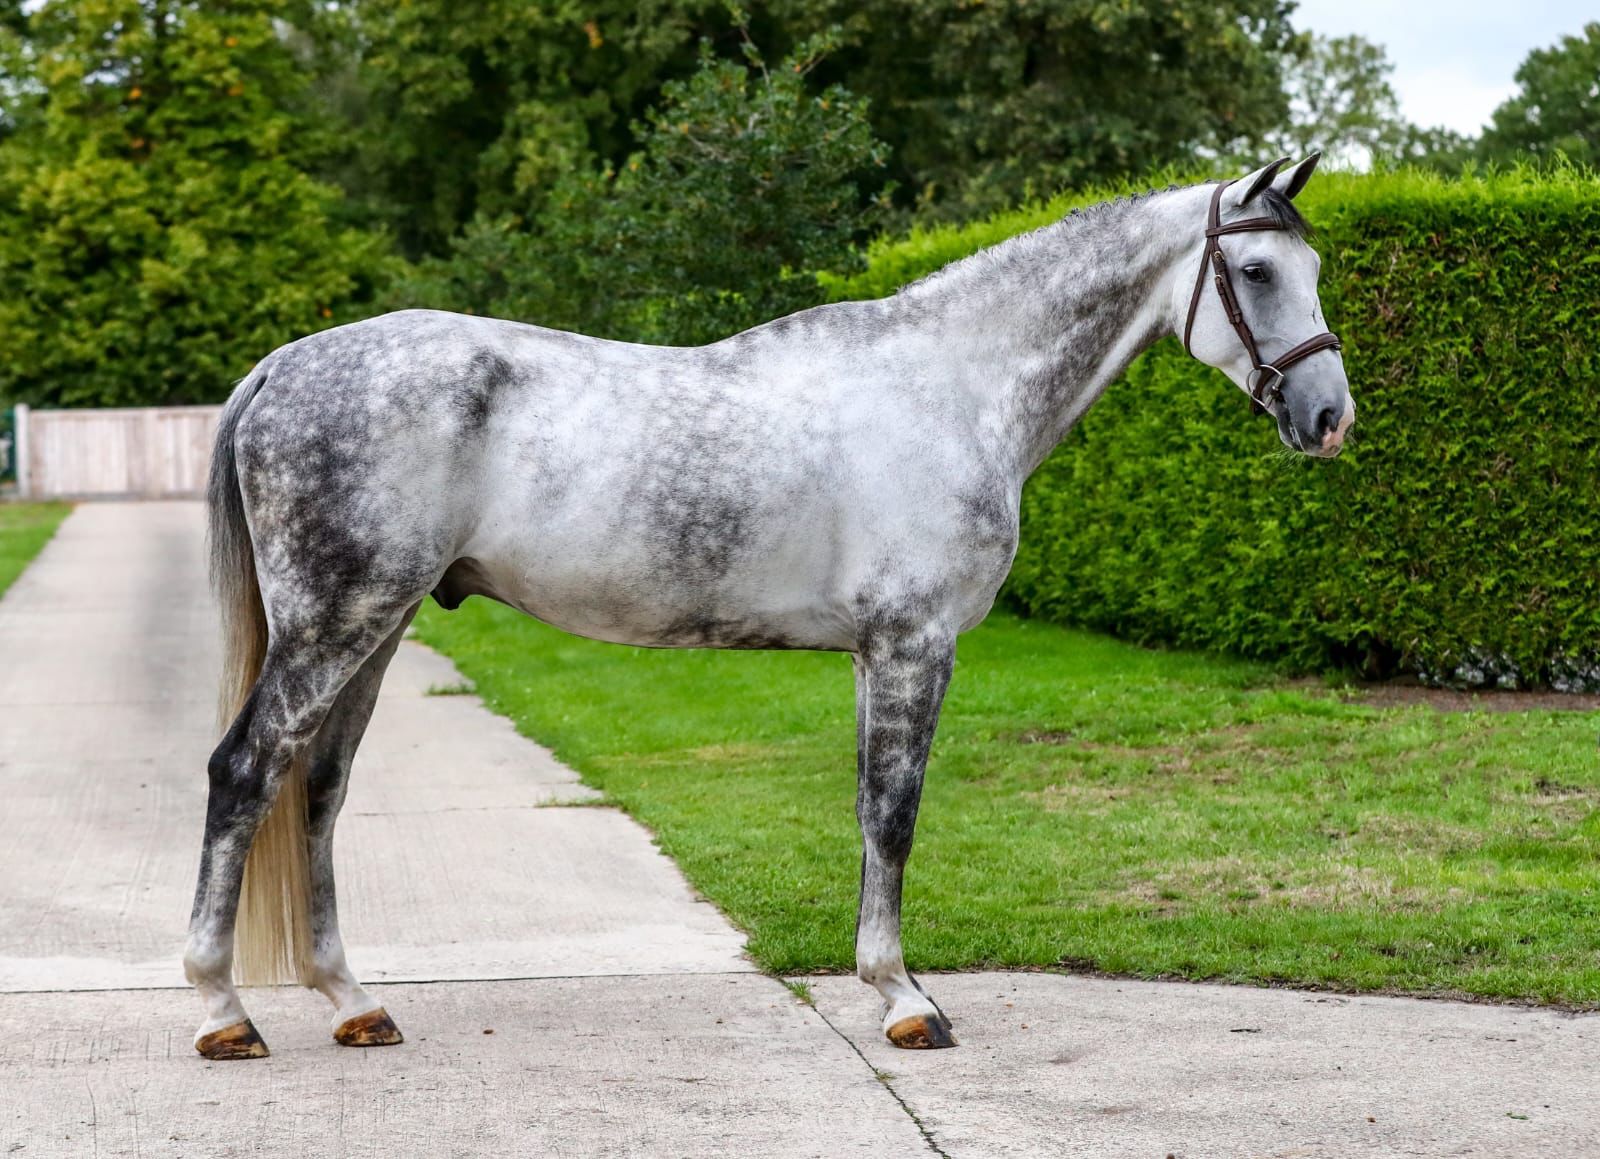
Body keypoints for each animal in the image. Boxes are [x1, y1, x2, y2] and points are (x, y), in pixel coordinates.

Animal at [185, 155, 1353, 1059]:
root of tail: (282, 364)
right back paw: (221, 1011)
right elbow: (894, 813)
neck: (952, 386)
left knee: (319, 787)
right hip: (336, 625)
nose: (1329, 417)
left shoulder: (873, 653)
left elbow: (871, 810)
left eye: (1314, 269)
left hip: (377, 626)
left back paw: (353, 1001)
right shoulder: (914, 645)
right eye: (1255, 270)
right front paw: (905, 1000)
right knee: (246, 771)